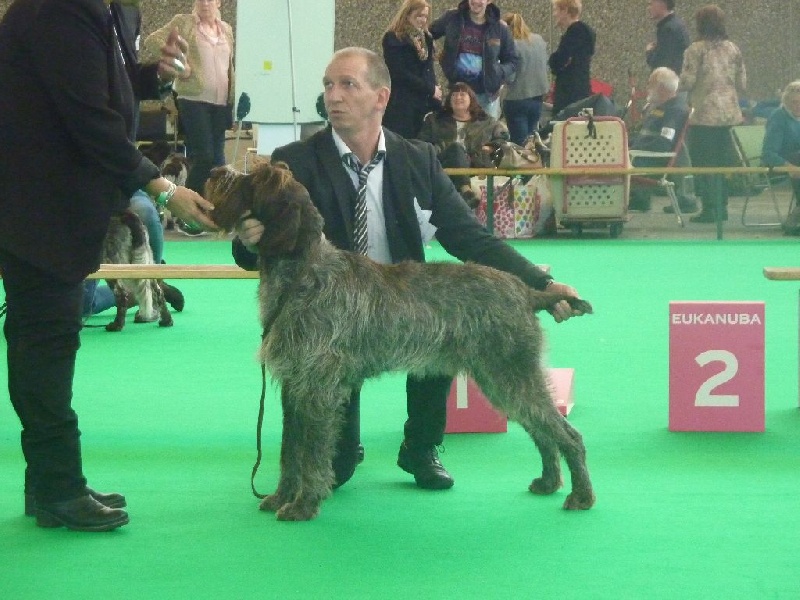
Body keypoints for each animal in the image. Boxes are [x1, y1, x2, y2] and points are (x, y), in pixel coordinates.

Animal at [205, 162, 592, 516]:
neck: (303, 273)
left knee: (566, 433)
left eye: (255, 179)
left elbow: (310, 452)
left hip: (510, 375)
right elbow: (290, 449)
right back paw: (549, 482)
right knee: (542, 431)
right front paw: (281, 497)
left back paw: (581, 496)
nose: (214, 172)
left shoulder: (317, 387)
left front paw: (303, 504)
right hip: (500, 380)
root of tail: (526, 291)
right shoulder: (294, 383)